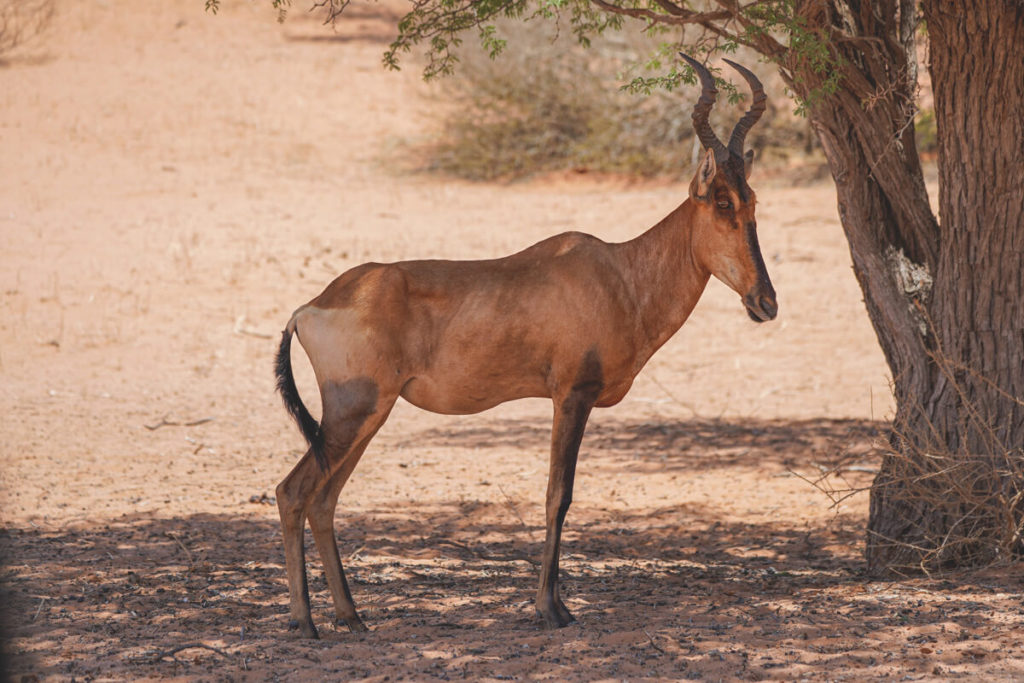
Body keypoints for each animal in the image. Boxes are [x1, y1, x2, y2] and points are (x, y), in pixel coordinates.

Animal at [272, 54, 774, 643]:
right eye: (720, 201)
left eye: (752, 199)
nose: (765, 302)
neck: (619, 273)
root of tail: (311, 307)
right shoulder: (572, 395)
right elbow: (560, 495)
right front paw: (550, 609)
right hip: (353, 411)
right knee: (293, 492)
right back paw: (304, 622)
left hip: (365, 417)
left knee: (324, 499)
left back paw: (351, 615)